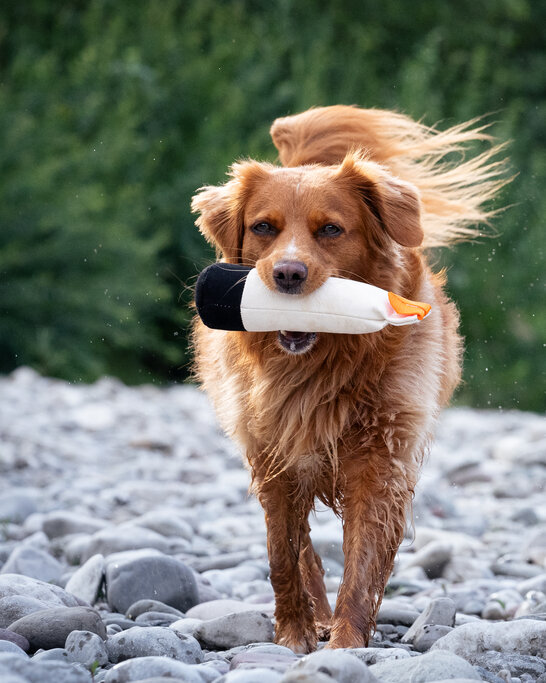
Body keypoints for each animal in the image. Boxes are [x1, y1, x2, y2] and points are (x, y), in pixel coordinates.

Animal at [190, 105, 502, 652]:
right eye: (264, 227)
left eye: (331, 230)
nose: (288, 274)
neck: (321, 365)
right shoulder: (273, 454)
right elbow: (282, 554)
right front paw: (294, 634)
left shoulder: (381, 459)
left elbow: (362, 562)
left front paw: (345, 644)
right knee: (304, 551)